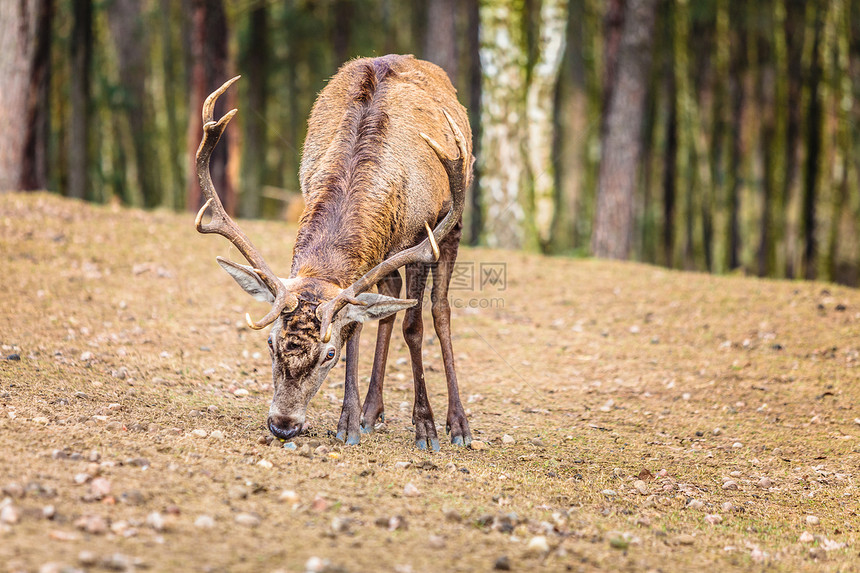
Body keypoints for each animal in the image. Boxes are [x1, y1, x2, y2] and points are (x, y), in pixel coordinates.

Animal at [195, 57, 474, 452]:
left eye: (329, 354)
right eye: (271, 342)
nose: (283, 425)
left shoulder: (425, 234)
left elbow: (413, 326)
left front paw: (425, 428)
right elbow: (357, 325)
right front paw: (349, 423)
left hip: (454, 223)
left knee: (439, 309)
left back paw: (458, 424)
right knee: (388, 302)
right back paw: (372, 411)